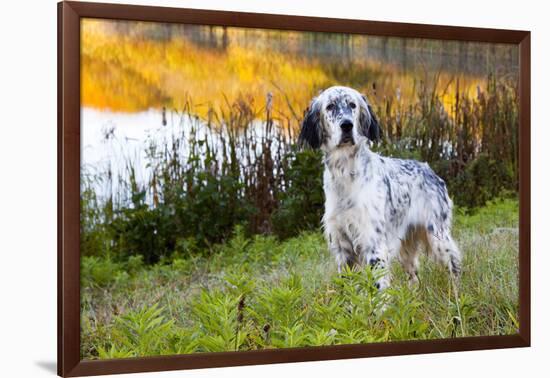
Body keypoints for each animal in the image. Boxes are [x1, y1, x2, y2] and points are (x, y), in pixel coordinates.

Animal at [300, 86, 464, 290]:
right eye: (330, 106)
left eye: (352, 105)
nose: (346, 125)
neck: (346, 173)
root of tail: (430, 170)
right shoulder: (342, 247)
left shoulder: (373, 242)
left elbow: (378, 287)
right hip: (407, 246)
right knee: (414, 278)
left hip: (438, 236)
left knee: (454, 264)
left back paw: (457, 294)